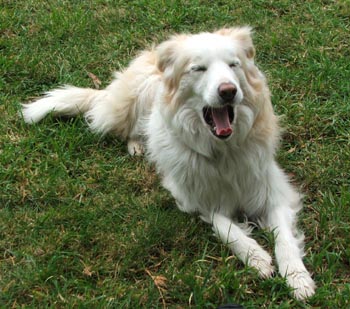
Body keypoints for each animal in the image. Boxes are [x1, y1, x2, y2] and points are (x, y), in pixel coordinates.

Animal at [22, 25, 318, 298]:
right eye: (199, 69)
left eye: (233, 65)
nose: (228, 91)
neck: (223, 151)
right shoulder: (193, 196)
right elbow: (226, 228)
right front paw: (255, 257)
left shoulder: (275, 193)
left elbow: (285, 240)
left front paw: (297, 278)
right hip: (138, 97)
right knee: (128, 128)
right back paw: (138, 145)